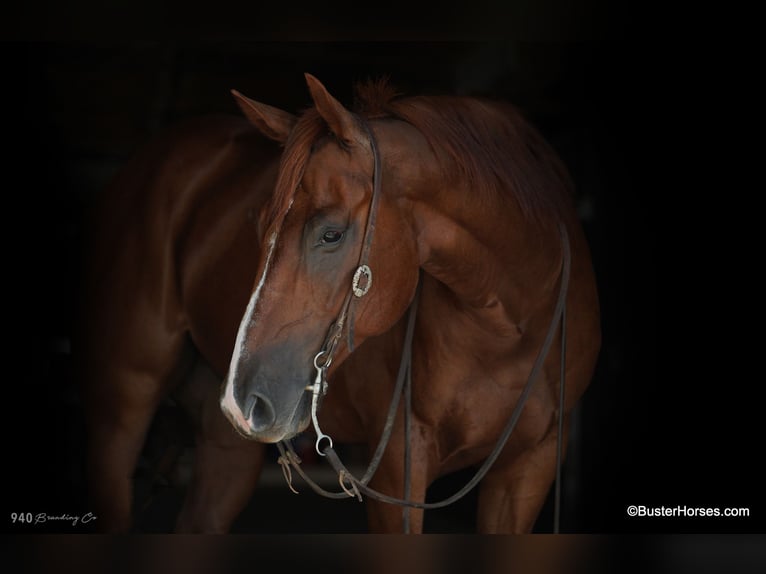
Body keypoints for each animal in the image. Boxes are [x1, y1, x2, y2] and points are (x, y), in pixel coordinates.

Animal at [219, 73, 604, 536]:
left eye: (331, 233)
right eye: (261, 226)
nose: (240, 403)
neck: (510, 324)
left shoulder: (531, 464)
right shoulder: (397, 469)